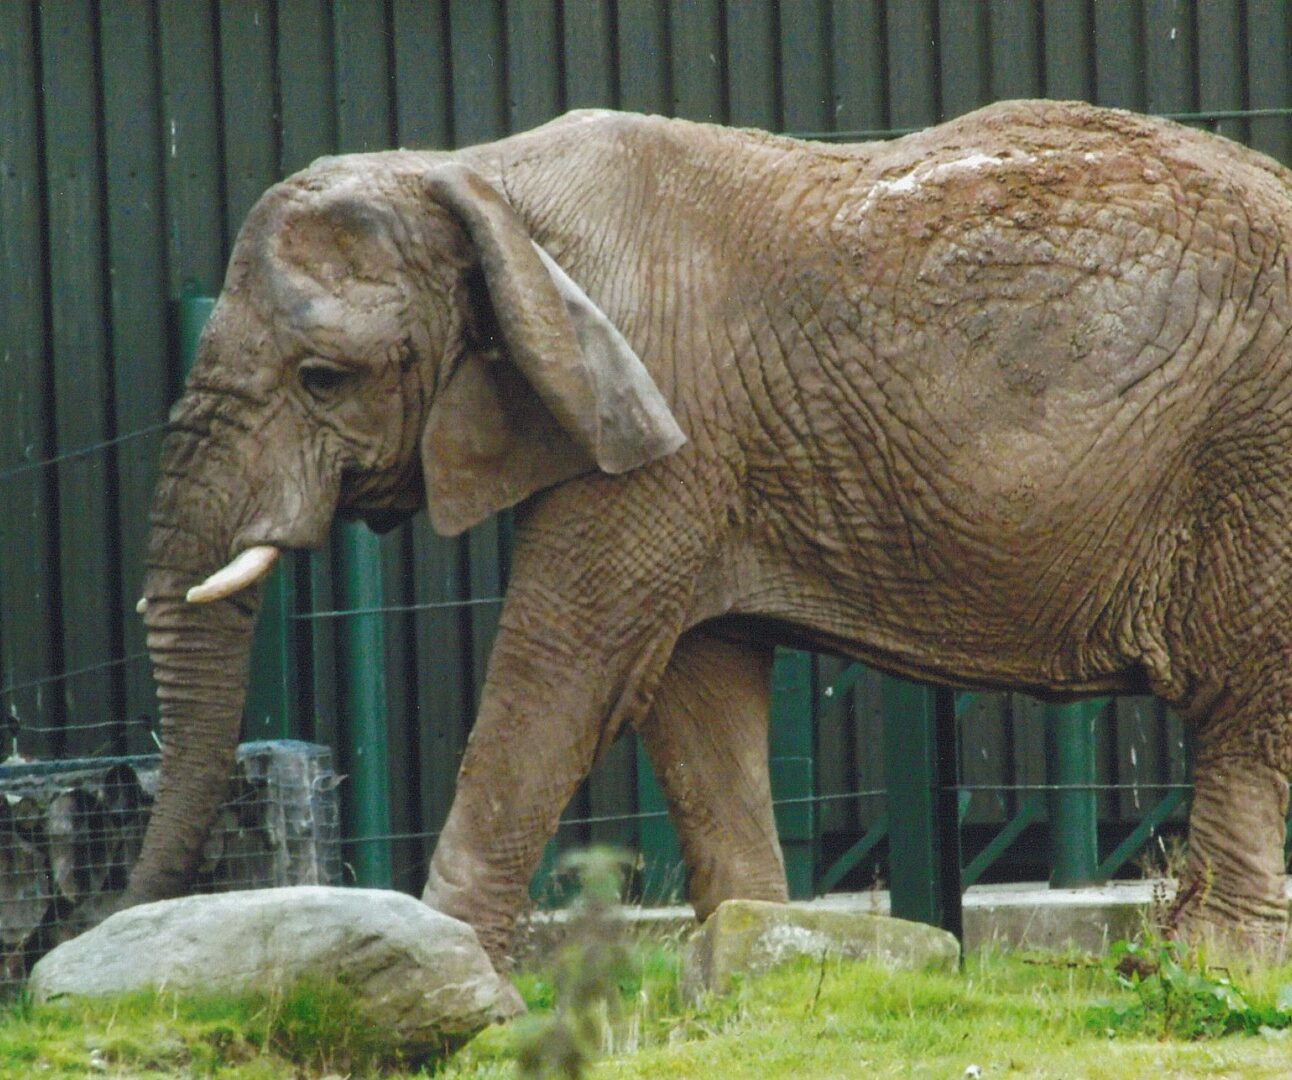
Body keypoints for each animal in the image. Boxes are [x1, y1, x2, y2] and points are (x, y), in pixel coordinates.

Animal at [129, 98, 1292, 969]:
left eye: (324, 379)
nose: (122, 925)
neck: (474, 178)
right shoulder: (694, 455)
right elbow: (692, 692)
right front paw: (759, 956)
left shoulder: (659, 425)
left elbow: (565, 668)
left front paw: (445, 961)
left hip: (1255, 459)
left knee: (1243, 705)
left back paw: (1208, 965)